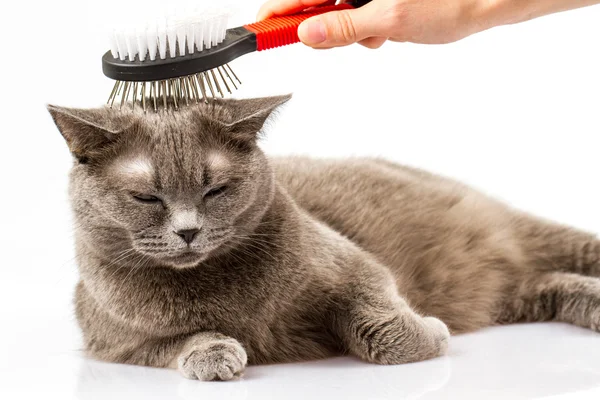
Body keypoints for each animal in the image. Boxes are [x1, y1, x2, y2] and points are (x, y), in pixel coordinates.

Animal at [48, 96, 600, 382]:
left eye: (216, 189)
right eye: (146, 197)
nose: (188, 231)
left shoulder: (352, 265)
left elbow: (384, 330)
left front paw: (431, 332)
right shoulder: (112, 340)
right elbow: (172, 343)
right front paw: (214, 355)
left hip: (525, 232)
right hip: (510, 291)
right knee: (549, 283)